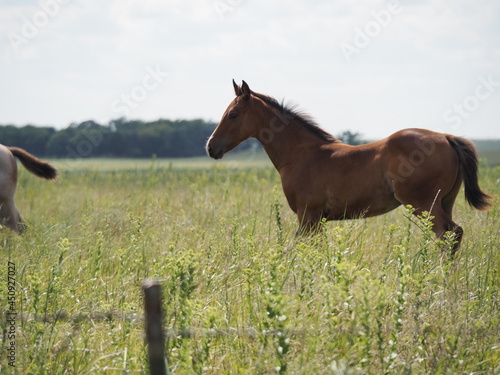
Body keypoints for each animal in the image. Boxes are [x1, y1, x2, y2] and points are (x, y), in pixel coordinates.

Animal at [205, 81, 490, 254]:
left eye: (233, 115)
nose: (211, 147)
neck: (301, 154)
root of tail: (446, 137)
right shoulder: (317, 219)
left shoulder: (308, 215)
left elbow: (298, 248)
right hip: (445, 201)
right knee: (453, 234)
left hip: (423, 203)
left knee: (447, 234)